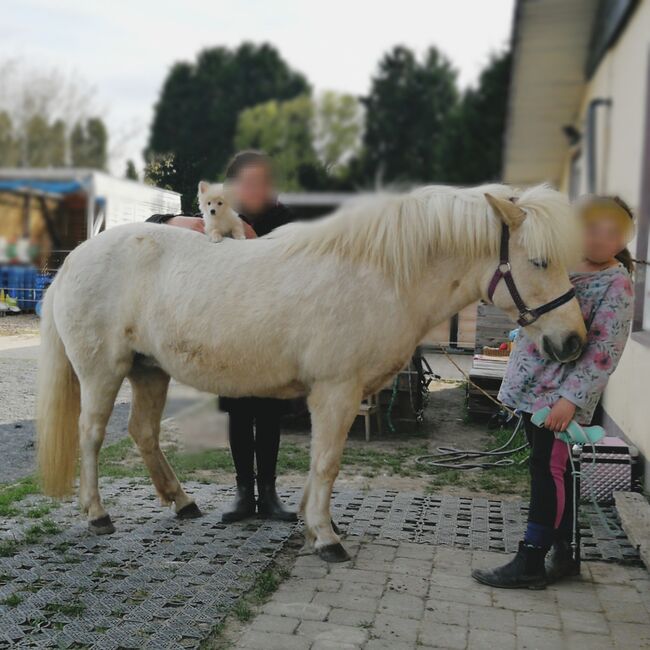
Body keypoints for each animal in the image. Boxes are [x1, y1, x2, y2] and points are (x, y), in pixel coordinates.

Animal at [36, 185, 588, 560]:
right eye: (540, 261)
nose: (573, 342)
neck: (378, 273)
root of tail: (74, 260)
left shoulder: (339, 395)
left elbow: (320, 463)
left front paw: (308, 518)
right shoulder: (336, 391)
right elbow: (327, 462)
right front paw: (325, 537)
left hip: (149, 371)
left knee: (144, 433)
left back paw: (183, 502)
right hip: (102, 372)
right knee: (91, 435)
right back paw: (97, 514)